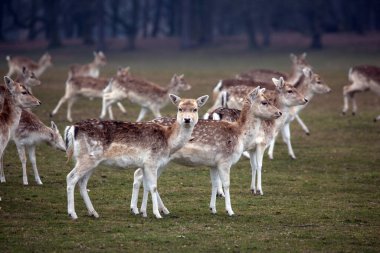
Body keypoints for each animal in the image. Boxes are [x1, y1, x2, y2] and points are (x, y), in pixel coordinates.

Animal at [131, 86, 282, 216]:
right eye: (264, 102)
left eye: (269, 99)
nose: (279, 112)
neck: (240, 135)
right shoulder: (224, 160)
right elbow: (226, 184)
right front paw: (230, 211)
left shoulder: (213, 163)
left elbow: (214, 183)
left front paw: (213, 208)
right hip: (158, 159)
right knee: (142, 176)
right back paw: (143, 209)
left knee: (141, 175)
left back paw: (146, 209)